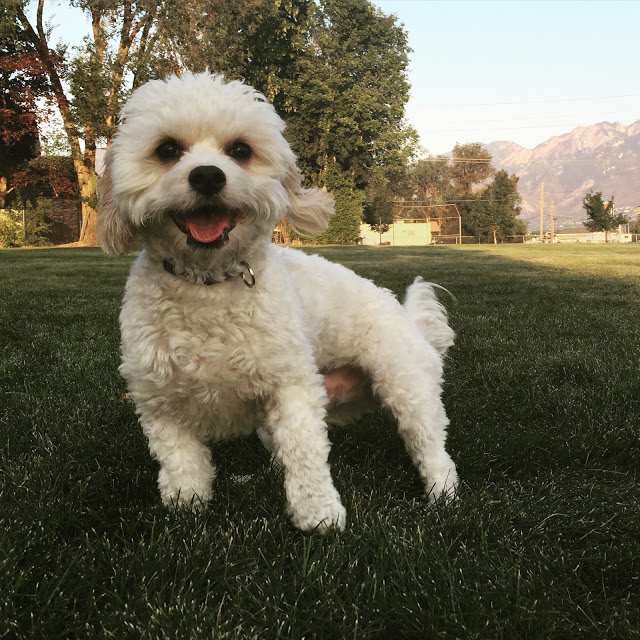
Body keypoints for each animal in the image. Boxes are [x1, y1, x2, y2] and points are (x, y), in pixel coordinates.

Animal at [98, 71, 458, 532]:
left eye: (240, 150)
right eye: (167, 150)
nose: (208, 176)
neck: (208, 282)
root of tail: (409, 321)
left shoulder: (292, 387)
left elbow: (305, 456)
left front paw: (319, 515)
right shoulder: (160, 401)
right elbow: (182, 465)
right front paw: (186, 508)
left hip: (407, 388)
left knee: (433, 450)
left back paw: (443, 496)